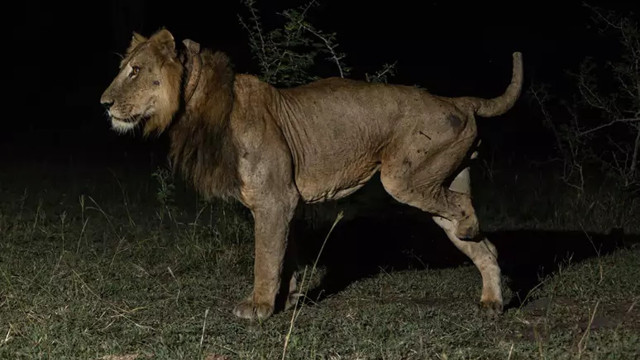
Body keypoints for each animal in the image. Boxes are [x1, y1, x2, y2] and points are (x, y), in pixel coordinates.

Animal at [99, 28, 520, 320]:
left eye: (135, 71)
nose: (103, 104)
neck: (198, 105)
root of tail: (456, 100)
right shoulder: (285, 202)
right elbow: (287, 255)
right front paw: (288, 299)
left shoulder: (274, 199)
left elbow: (266, 257)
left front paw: (259, 306)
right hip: (437, 181)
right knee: (485, 247)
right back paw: (492, 300)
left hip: (404, 178)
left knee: (463, 208)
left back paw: (471, 231)